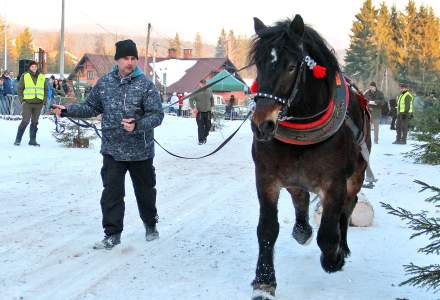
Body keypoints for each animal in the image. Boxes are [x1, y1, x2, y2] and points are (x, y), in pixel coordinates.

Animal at [249, 14, 370, 300]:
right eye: (259, 63)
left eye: (292, 66)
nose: (261, 125)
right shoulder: (266, 178)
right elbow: (267, 229)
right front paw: (264, 281)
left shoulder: (334, 182)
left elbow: (328, 233)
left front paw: (334, 258)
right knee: (300, 197)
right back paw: (302, 231)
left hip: (356, 177)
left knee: (347, 209)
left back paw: (342, 247)